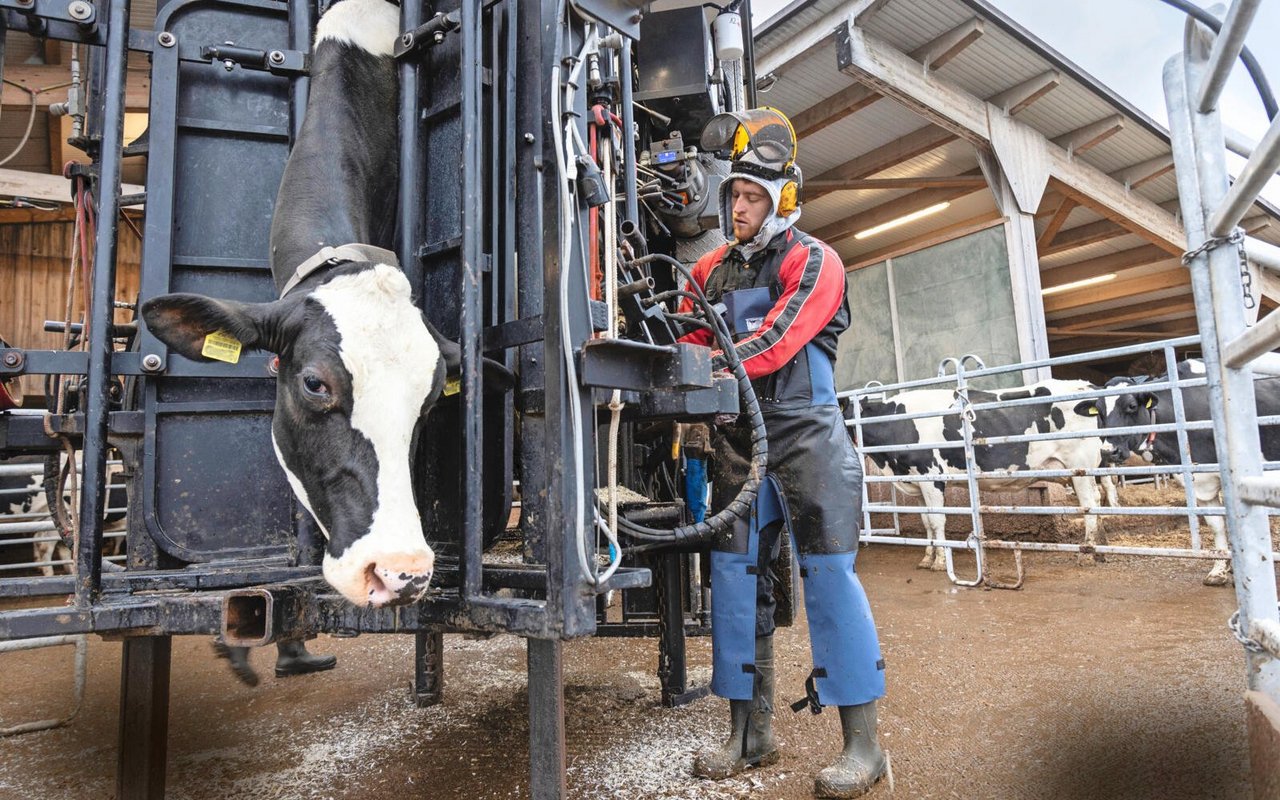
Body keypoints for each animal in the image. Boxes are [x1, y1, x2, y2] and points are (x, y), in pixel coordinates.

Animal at [855, 378, 1116, 568]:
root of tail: (1087, 386)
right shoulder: (917, 481)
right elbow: (927, 521)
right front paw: (927, 557)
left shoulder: (932, 477)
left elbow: (938, 520)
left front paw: (940, 562)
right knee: (1097, 500)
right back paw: (1100, 549)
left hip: (1080, 466)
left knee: (1089, 503)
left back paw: (1086, 553)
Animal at [1100, 358, 1280, 583]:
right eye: (1099, 411)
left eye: (1131, 406)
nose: (1109, 452)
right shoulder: (1201, 482)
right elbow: (1216, 525)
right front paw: (1219, 570)